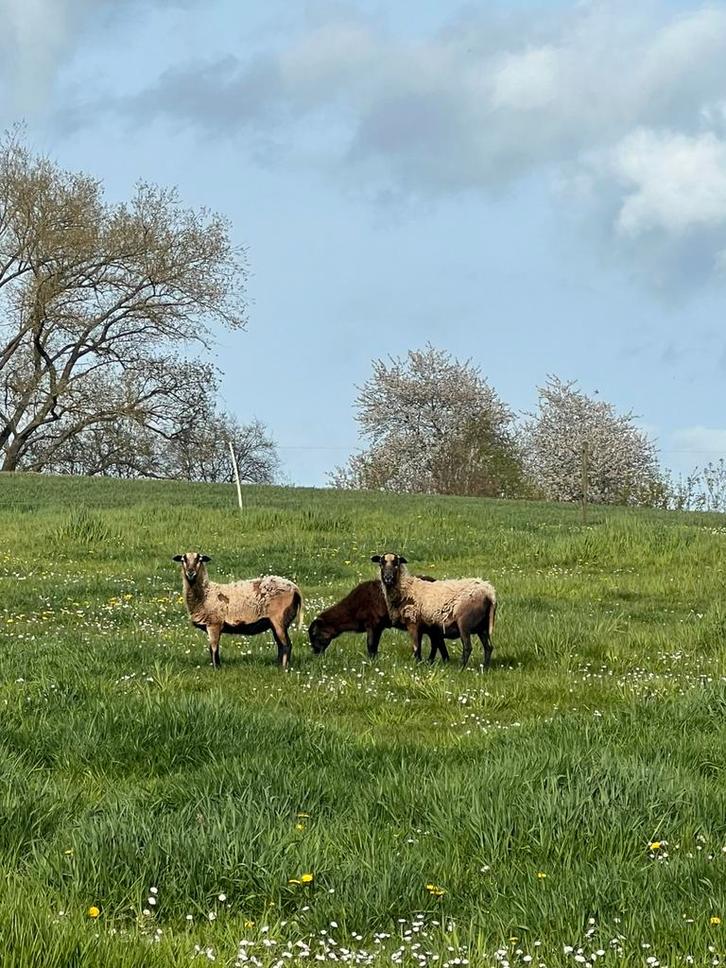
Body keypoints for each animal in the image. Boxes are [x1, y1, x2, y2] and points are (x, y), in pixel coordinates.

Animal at [172, 551, 303, 670]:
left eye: (199, 559)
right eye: (183, 559)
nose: (190, 572)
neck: (205, 594)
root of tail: (295, 589)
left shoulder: (214, 624)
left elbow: (213, 648)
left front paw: (216, 668)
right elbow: (214, 648)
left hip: (279, 618)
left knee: (286, 644)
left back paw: (284, 668)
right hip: (275, 622)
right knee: (280, 645)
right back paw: (278, 665)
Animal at [308, 578, 449, 661]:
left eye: (315, 634)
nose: (315, 653)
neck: (351, 612)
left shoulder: (372, 623)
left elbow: (370, 644)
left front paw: (371, 661)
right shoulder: (379, 626)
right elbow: (374, 644)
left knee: (436, 641)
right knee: (438, 640)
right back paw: (441, 660)